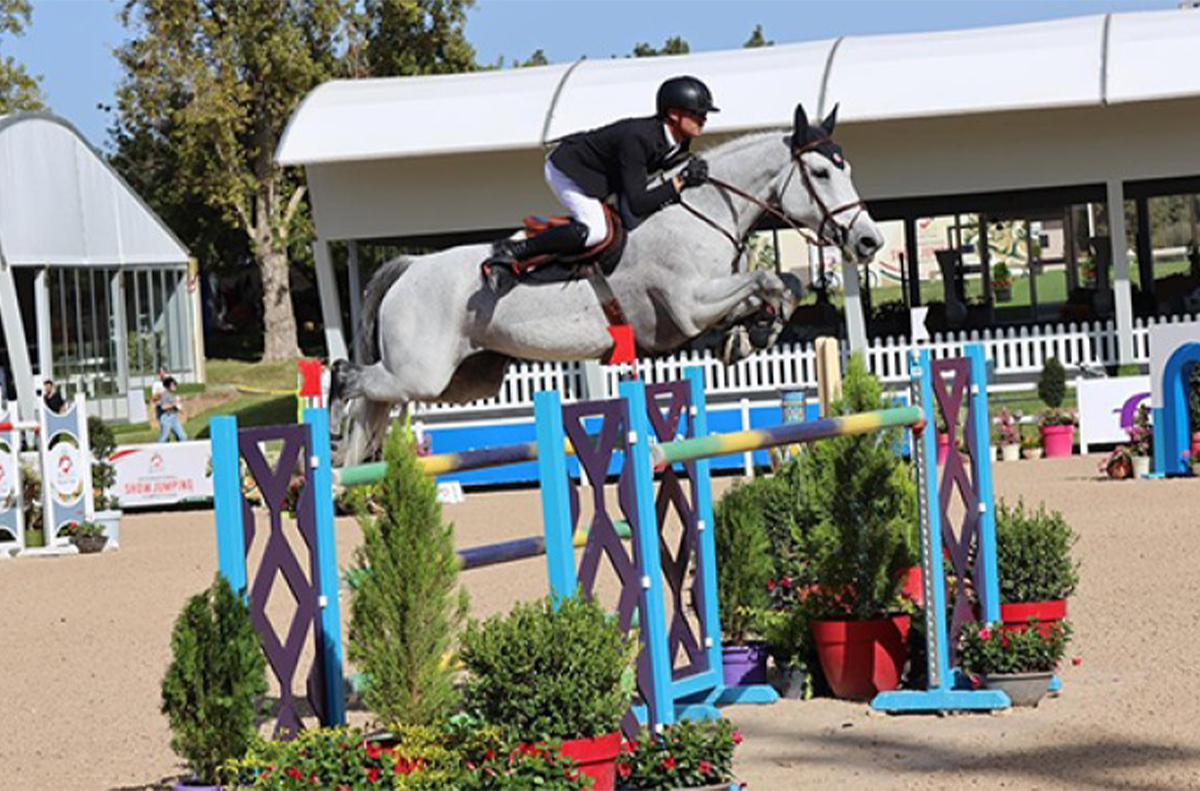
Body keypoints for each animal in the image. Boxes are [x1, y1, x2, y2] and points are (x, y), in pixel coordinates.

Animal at [333, 104, 888, 463]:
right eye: (820, 172)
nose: (869, 241)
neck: (702, 211)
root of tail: (409, 266)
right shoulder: (688, 305)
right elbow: (767, 277)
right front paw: (753, 332)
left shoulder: (708, 300)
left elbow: (782, 285)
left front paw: (752, 335)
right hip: (420, 373)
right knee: (357, 380)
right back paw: (335, 418)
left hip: (467, 379)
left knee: (378, 398)